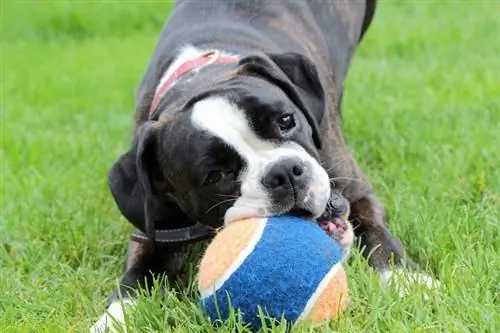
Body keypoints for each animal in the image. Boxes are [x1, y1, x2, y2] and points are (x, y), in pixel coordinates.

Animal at [90, 1, 438, 330]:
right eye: (215, 176)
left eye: (286, 121)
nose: (283, 173)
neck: (200, 79)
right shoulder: (154, 234)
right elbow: (135, 280)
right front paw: (112, 321)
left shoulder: (358, 194)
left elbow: (379, 236)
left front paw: (410, 283)